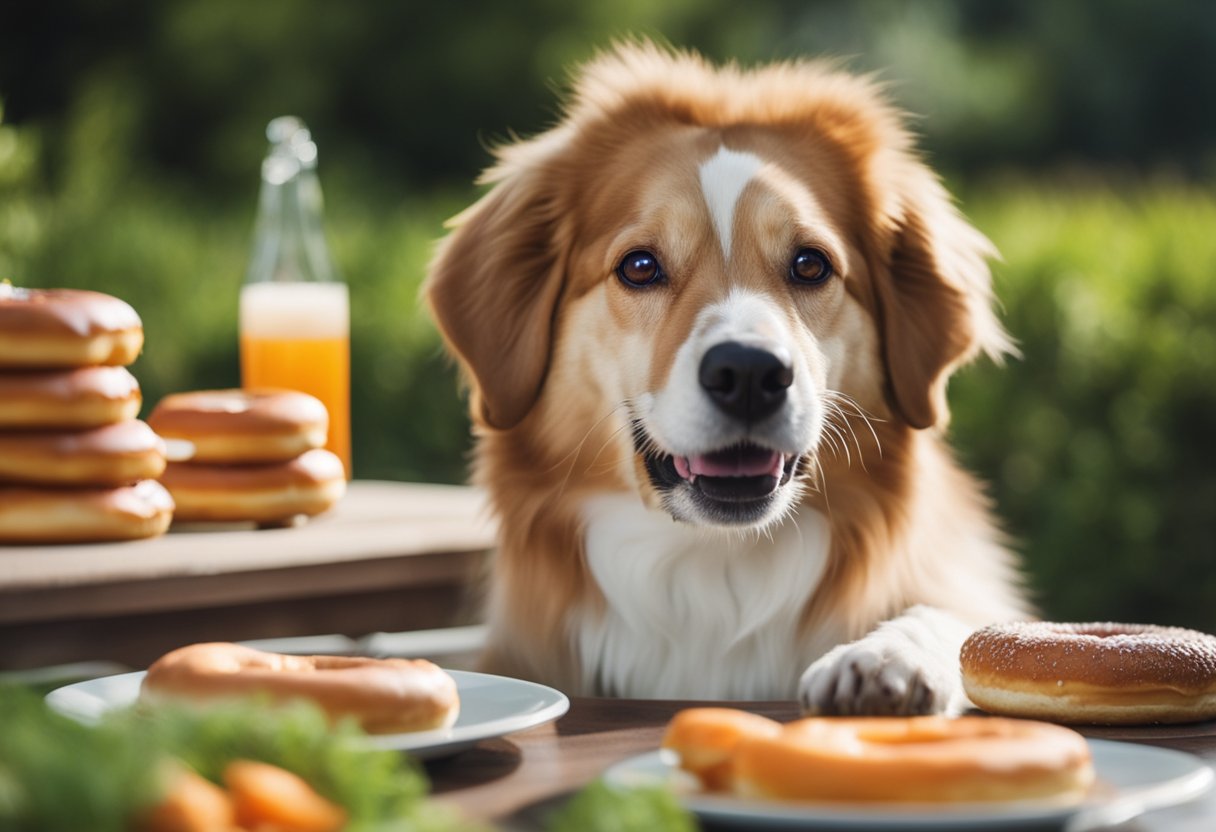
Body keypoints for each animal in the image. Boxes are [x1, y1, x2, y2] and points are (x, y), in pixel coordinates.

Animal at [423, 40, 1031, 715]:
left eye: (810, 264)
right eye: (639, 266)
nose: (748, 372)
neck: (715, 566)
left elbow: (961, 620)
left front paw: (886, 656)